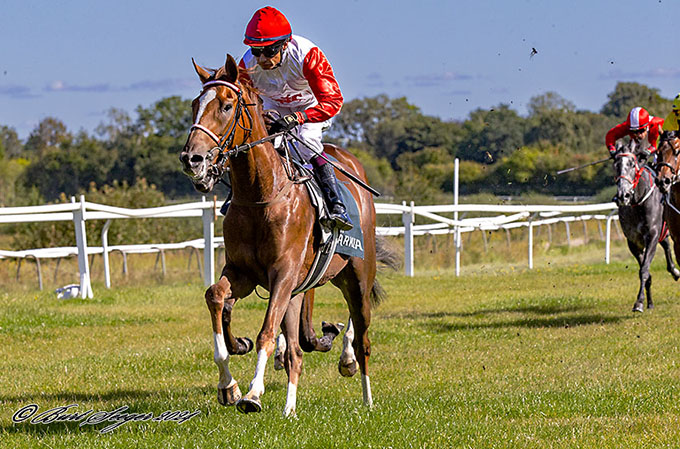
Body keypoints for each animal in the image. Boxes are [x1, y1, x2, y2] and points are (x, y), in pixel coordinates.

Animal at [181, 54, 390, 414]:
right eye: (196, 104)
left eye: (226, 105)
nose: (192, 159)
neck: (261, 194)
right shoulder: (243, 273)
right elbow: (216, 297)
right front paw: (229, 385)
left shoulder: (283, 274)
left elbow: (266, 332)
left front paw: (253, 393)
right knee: (296, 350)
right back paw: (290, 405)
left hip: (358, 274)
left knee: (361, 333)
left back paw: (364, 391)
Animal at [612, 140, 676, 312]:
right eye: (615, 165)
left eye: (631, 163)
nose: (623, 195)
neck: (638, 202)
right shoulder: (633, 242)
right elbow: (645, 271)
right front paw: (647, 302)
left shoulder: (652, 236)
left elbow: (644, 270)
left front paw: (639, 302)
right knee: (666, 244)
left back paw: (675, 271)